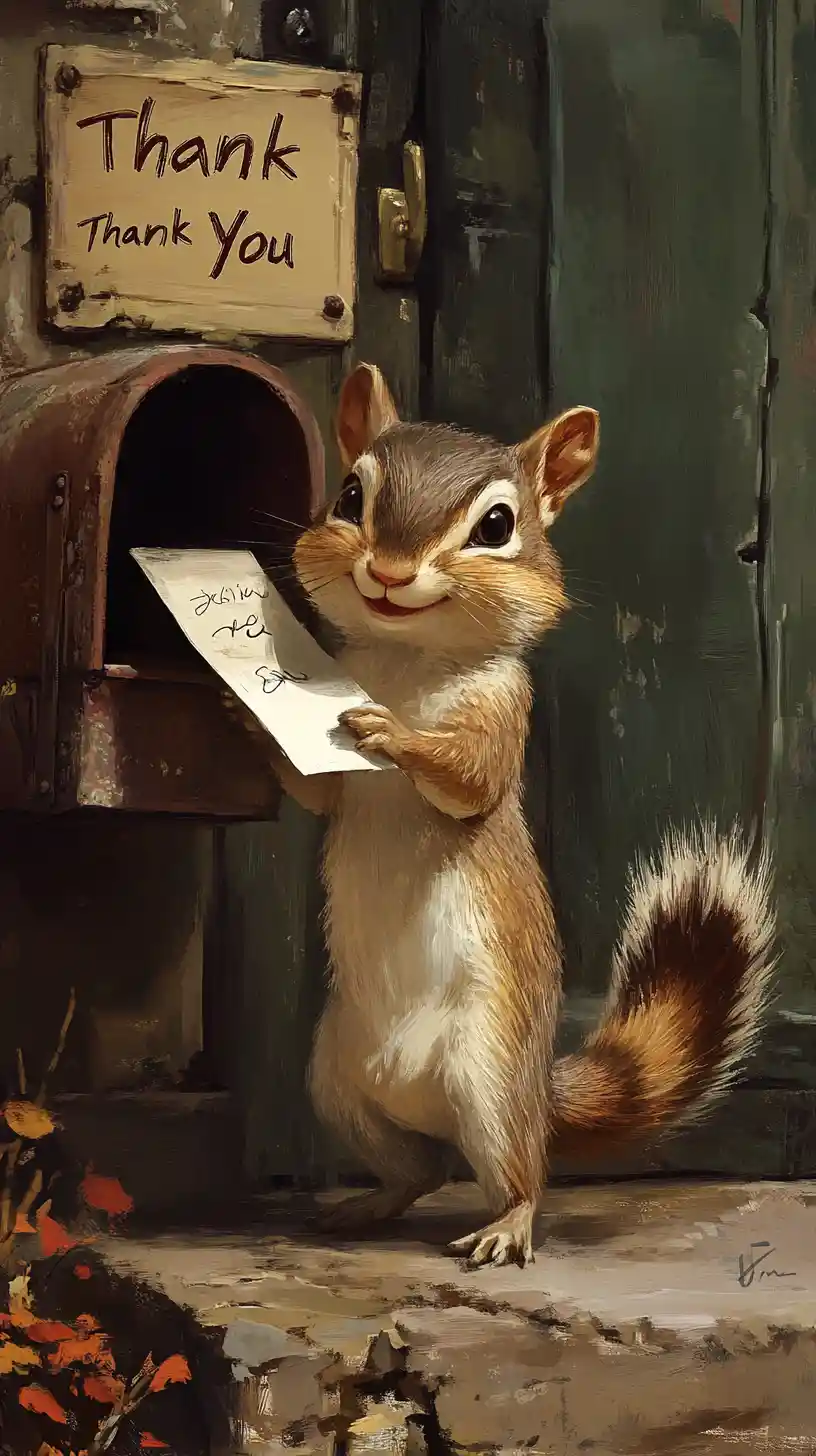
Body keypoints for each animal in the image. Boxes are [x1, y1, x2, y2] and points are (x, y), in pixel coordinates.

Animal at [231, 361, 777, 1270]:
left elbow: (467, 781)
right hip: (335, 1083)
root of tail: (533, 1089)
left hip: (487, 1080)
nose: (389, 571)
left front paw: (396, 735)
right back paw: (365, 1204)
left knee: (523, 1173)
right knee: (416, 1171)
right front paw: (242, 713)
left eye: (497, 525)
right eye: (349, 494)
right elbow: (318, 793)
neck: (409, 657)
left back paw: (506, 1227)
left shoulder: (503, 715)